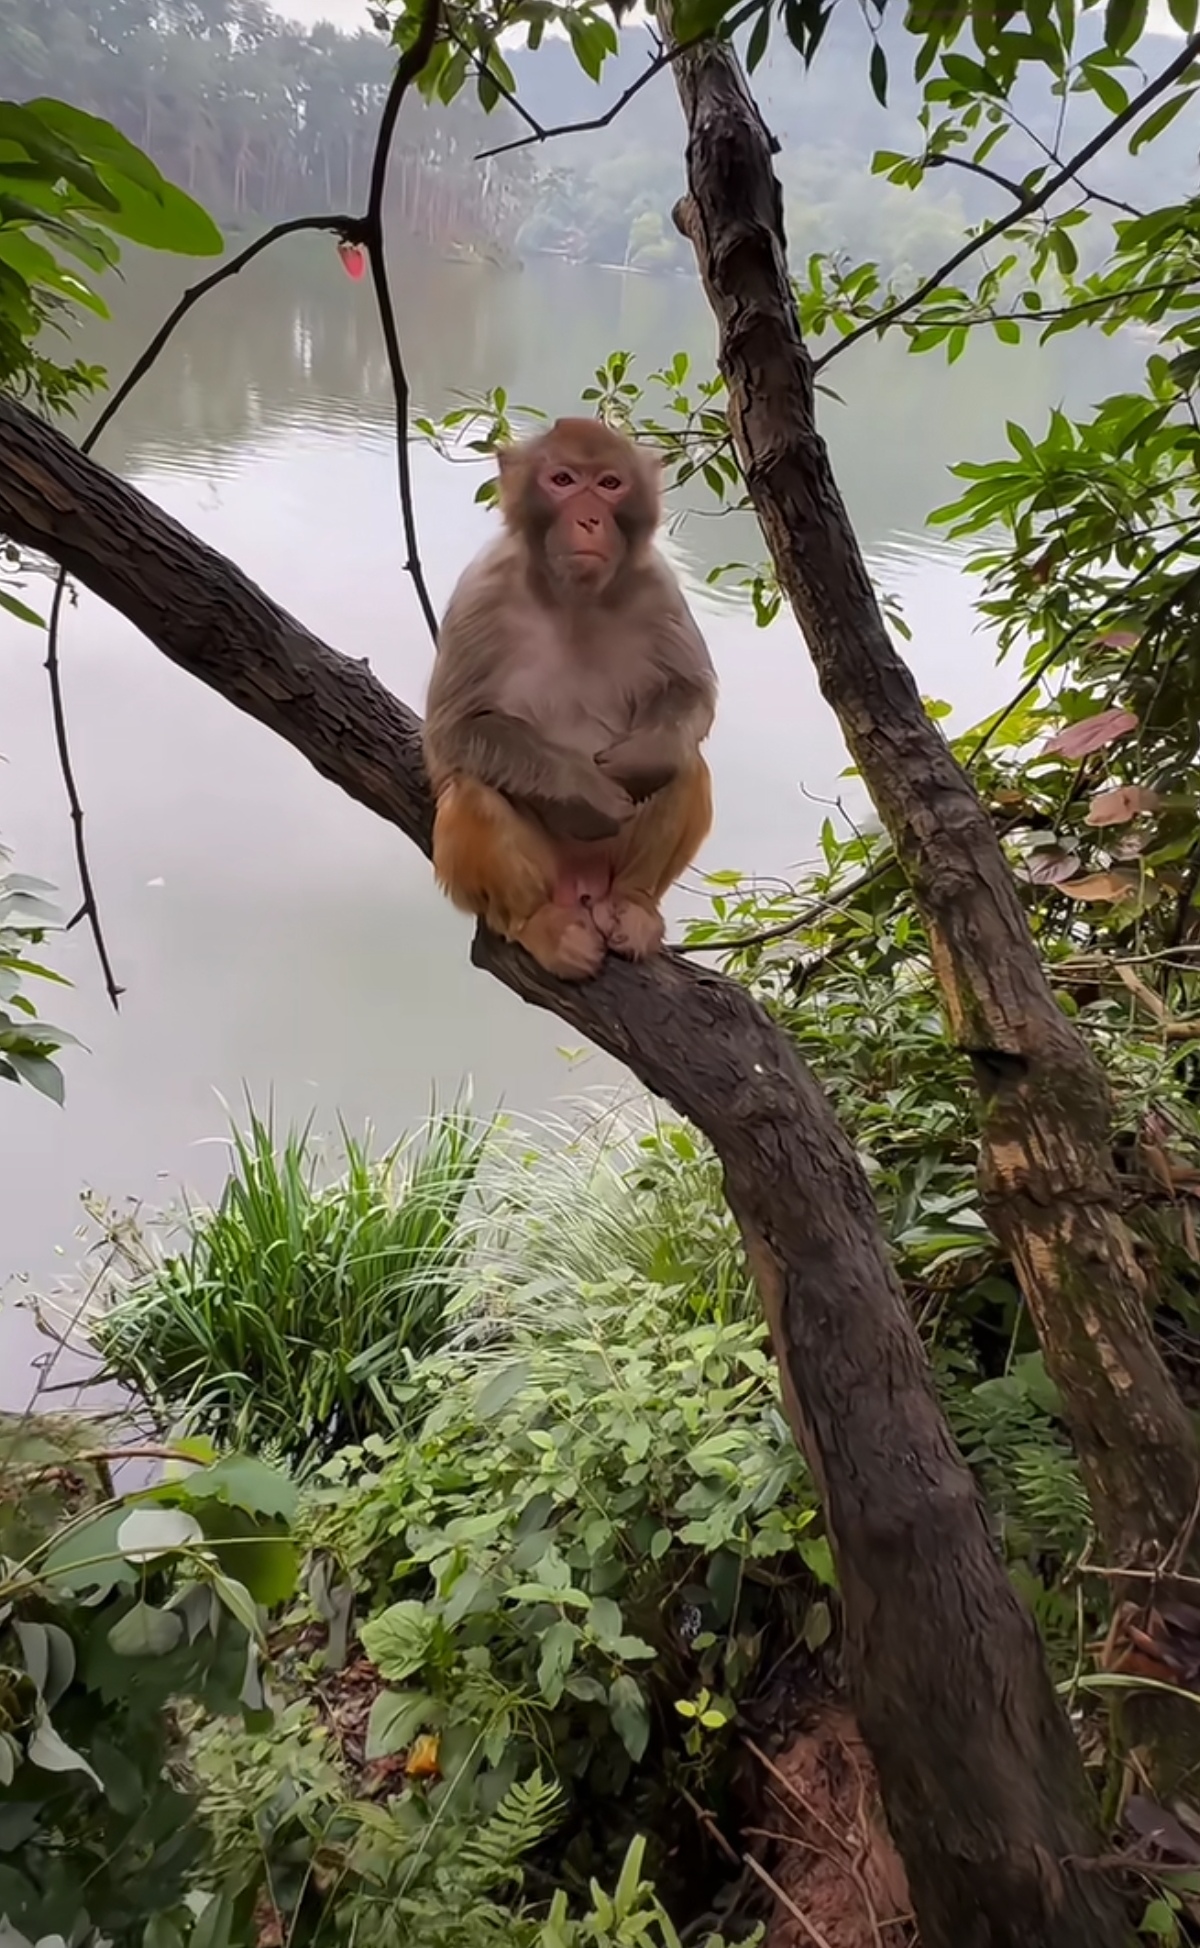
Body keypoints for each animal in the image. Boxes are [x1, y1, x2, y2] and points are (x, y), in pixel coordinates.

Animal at [424, 418, 716, 981]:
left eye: (609, 484)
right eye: (562, 480)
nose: (587, 519)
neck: (573, 596)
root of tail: (583, 883)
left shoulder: (658, 586)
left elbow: (693, 691)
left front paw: (643, 758)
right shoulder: (481, 590)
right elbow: (453, 729)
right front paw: (585, 794)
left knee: (684, 763)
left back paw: (634, 904)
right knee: (472, 793)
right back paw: (539, 924)